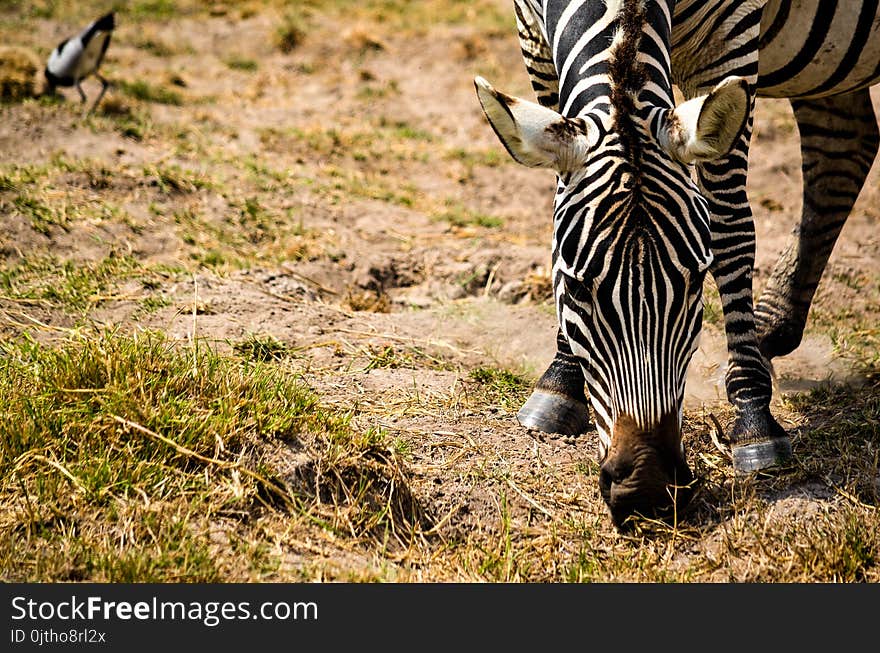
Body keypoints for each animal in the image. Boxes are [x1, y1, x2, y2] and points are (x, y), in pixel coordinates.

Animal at [474, 0, 880, 528]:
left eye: (694, 285)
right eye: (577, 289)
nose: (648, 488)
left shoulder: (730, 43)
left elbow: (731, 226)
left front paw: (754, 418)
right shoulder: (532, 36)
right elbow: (558, 197)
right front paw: (561, 378)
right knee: (845, 145)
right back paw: (772, 326)